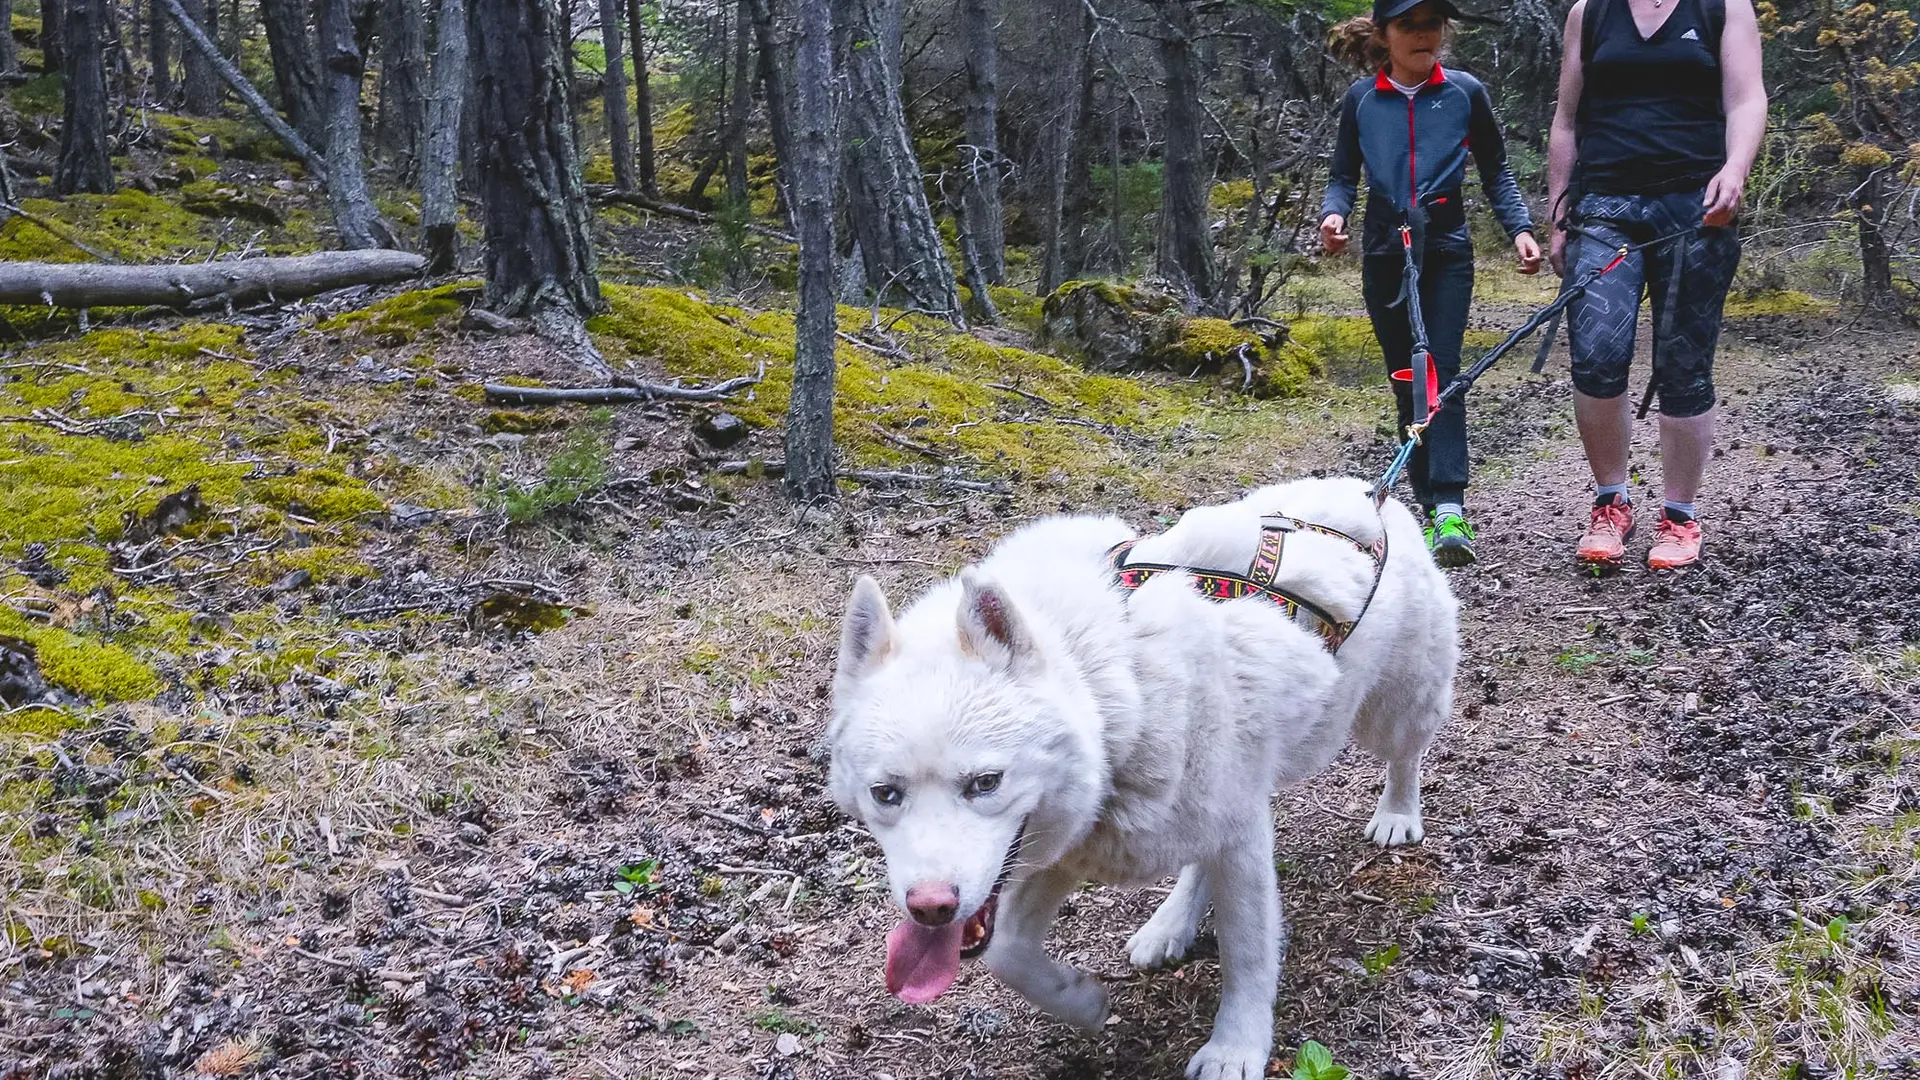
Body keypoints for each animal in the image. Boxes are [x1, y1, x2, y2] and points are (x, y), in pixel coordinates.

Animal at [825, 474, 1451, 1068]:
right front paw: (1082, 1001)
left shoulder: (1236, 838)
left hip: (1387, 717)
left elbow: (1247, 955)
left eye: (986, 783)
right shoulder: (1074, 847)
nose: (930, 908)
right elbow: (1007, 954)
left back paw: (1398, 814)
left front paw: (1235, 1049)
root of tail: (1371, 494)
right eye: (885, 793)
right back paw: (1169, 924)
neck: (1113, 684)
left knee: (1406, 754)